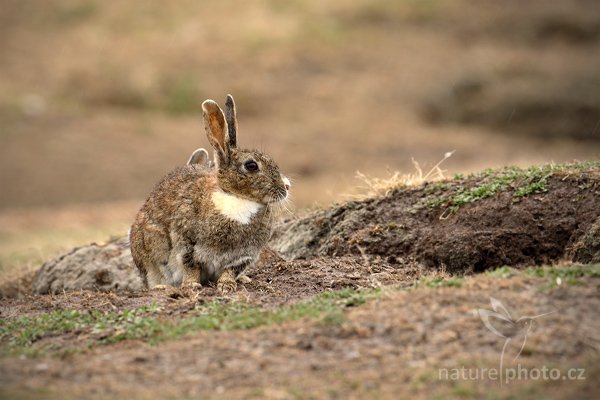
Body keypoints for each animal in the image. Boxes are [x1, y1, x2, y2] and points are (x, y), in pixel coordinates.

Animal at [129, 94, 290, 294]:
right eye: (251, 165)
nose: (286, 186)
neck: (235, 197)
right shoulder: (187, 244)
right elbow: (191, 266)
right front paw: (191, 285)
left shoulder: (243, 255)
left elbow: (230, 270)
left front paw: (227, 285)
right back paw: (161, 287)